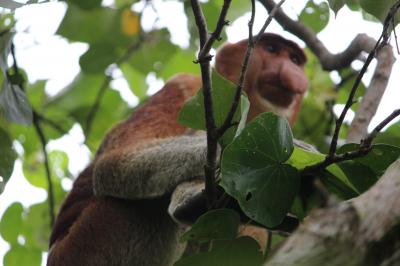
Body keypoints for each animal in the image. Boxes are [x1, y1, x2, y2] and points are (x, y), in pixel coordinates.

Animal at [47, 33, 310, 266]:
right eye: (272, 50)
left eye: (294, 59)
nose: (292, 70)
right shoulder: (186, 85)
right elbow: (113, 162)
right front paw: (301, 152)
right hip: (92, 239)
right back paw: (190, 204)